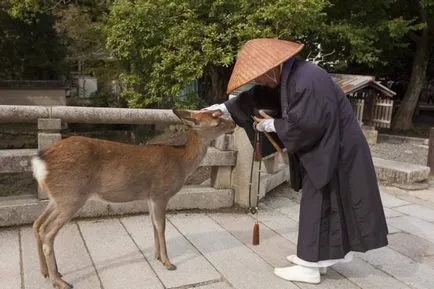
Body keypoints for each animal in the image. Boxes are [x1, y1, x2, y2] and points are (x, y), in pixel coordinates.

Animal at [31, 108, 236, 288]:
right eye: (217, 121)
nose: (234, 122)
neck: (182, 162)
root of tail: (40, 162)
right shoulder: (161, 193)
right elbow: (161, 226)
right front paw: (168, 263)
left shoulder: (150, 197)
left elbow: (153, 224)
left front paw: (157, 257)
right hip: (71, 196)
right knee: (47, 232)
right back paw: (60, 281)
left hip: (58, 198)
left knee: (38, 224)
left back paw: (47, 272)